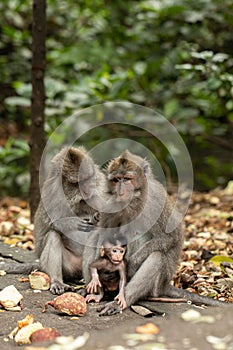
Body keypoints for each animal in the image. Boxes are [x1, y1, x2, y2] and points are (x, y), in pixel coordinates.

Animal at [2, 146, 105, 294]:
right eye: (77, 183)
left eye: (88, 179)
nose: (87, 191)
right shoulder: (53, 193)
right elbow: (52, 223)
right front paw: (73, 221)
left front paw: (98, 216)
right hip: (66, 267)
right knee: (53, 235)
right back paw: (57, 282)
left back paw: (89, 285)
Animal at [83, 149, 225, 316]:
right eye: (116, 180)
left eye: (127, 179)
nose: (120, 191)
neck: (135, 200)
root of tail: (165, 286)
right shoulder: (110, 203)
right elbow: (103, 232)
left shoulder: (155, 201)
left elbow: (170, 238)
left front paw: (131, 264)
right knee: (94, 236)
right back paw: (97, 292)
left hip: (157, 284)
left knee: (156, 256)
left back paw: (121, 301)